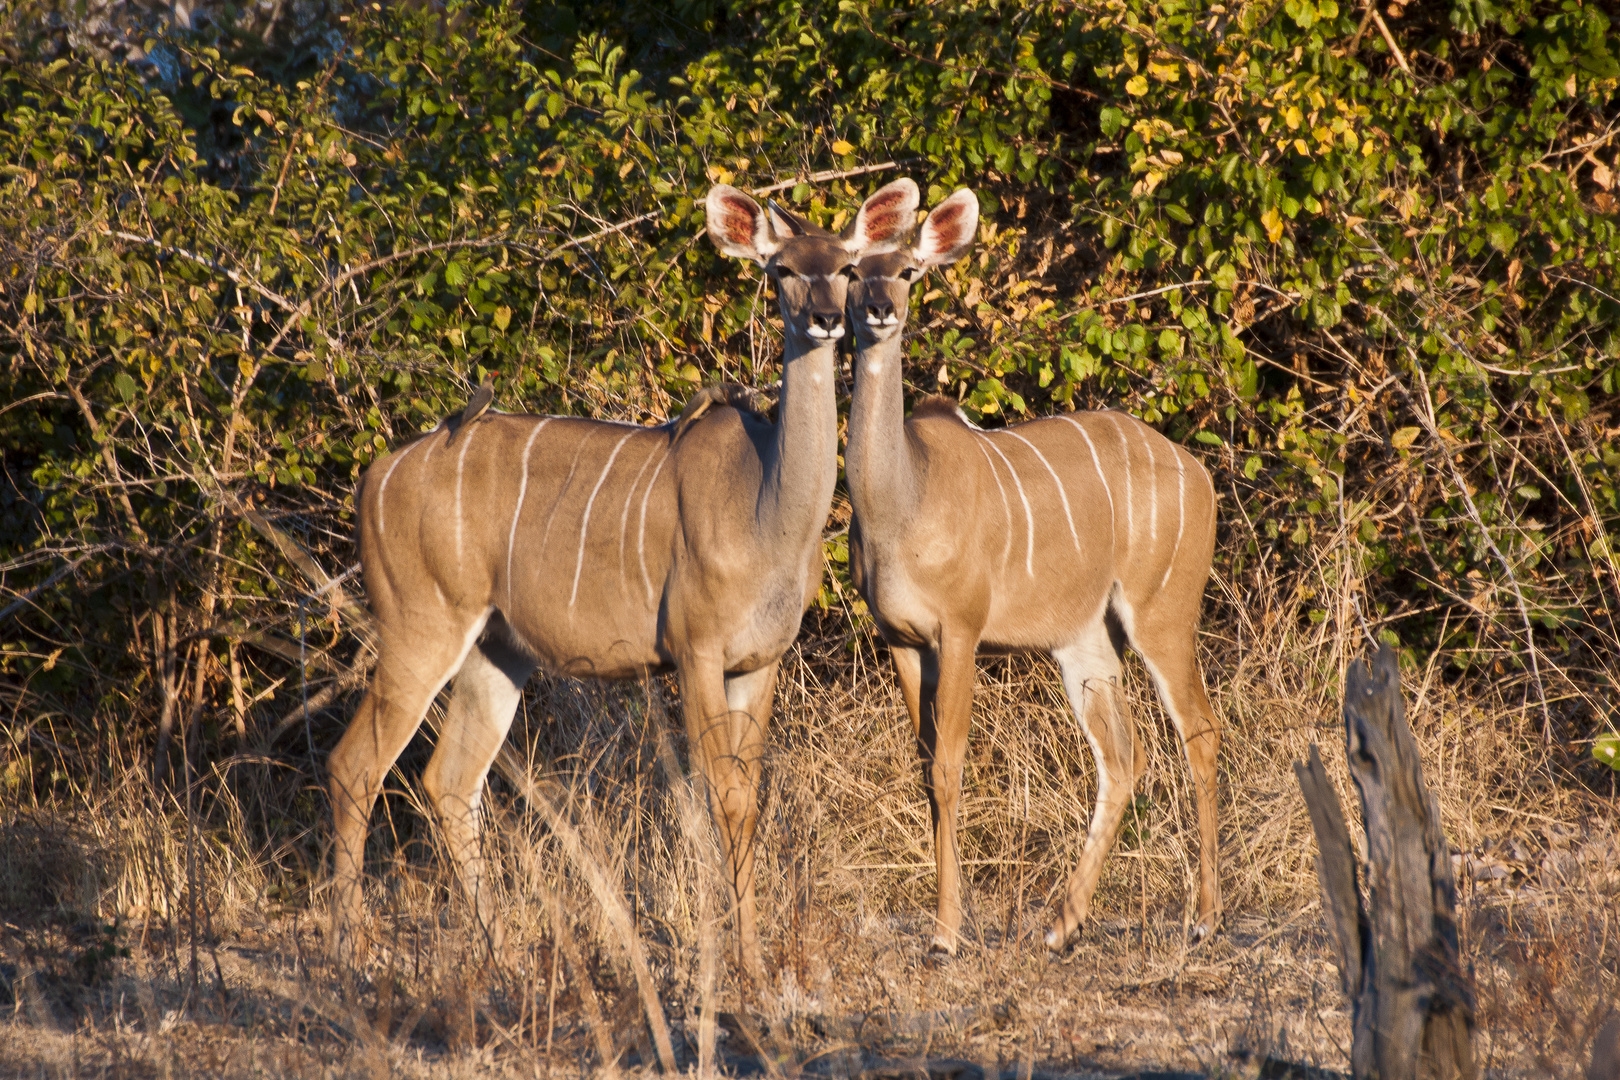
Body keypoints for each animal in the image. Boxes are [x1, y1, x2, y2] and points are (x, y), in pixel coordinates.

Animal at [325, 179, 926, 977]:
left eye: (849, 267)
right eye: (782, 270)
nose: (828, 318)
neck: (764, 501)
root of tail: (375, 477)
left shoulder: (757, 662)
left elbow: (747, 797)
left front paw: (751, 955)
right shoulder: (695, 652)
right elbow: (718, 797)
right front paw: (735, 961)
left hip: (496, 648)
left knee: (449, 779)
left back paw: (501, 953)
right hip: (421, 625)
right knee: (356, 764)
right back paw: (351, 947)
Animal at [842, 186, 1218, 952]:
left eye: (910, 270)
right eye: (854, 271)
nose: (880, 309)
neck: (904, 499)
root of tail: (1202, 478)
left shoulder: (959, 631)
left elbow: (950, 766)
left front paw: (946, 933)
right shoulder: (900, 640)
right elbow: (923, 766)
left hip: (1162, 615)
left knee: (1200, 732)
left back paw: (1204, 918)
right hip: (1083, 640)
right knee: (1123, 756)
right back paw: (1061, 926)